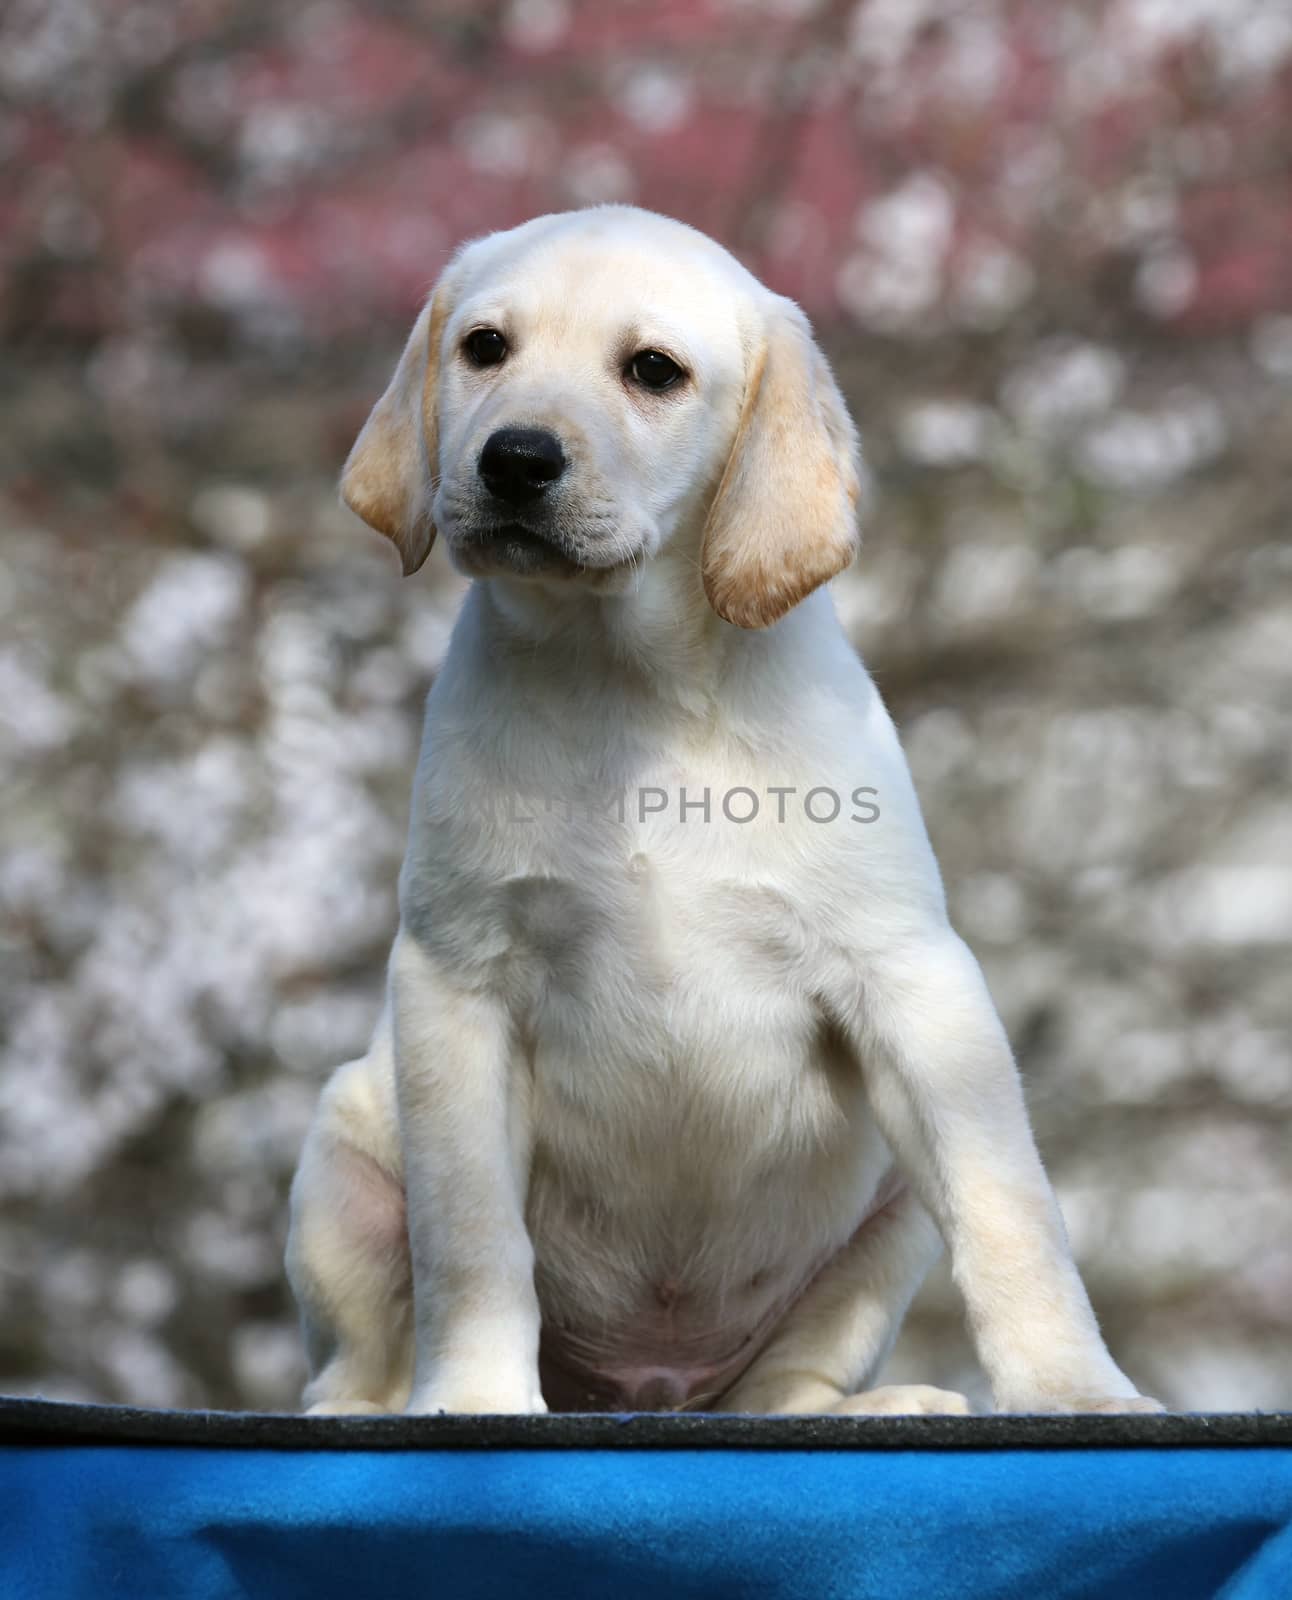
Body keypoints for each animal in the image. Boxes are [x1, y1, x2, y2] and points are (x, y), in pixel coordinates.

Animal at [287, 209, 1164, 1414]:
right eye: (483, 349)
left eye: (652, 371)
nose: (514, 458)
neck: (632, 684)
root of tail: (643, 1392)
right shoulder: (455, 985)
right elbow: (470, 1240)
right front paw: (470, 1397)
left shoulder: (911, 978)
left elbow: (1007, 1210)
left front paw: (1072, 1388)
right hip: (343, 1158)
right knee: (355, 1360)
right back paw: (381, 1404)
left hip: (887, 1217)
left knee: (784, 1387)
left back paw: (874, 1405)